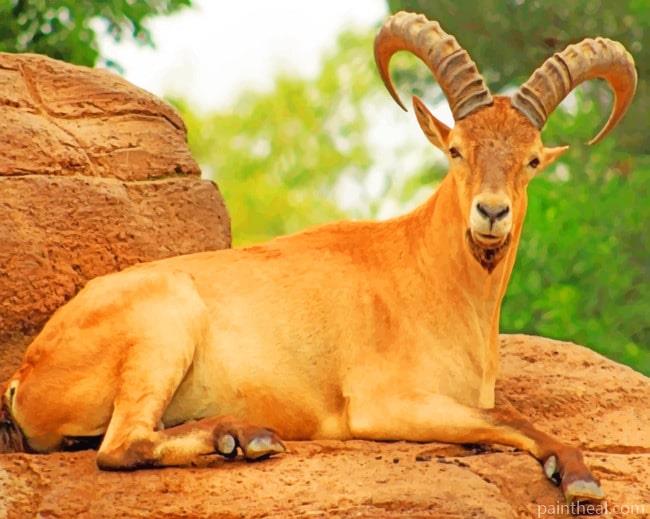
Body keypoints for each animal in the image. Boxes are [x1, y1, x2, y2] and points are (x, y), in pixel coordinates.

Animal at [0, 11, 636, 507]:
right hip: (163, 323)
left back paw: (242, 436)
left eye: (532, 160)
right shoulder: (383, 405)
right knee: (121, 445)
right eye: (456, 150)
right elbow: (510, 419)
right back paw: (246, 439)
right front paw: (578, 476)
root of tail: (25, 375)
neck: (433, 280)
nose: (491, 213)